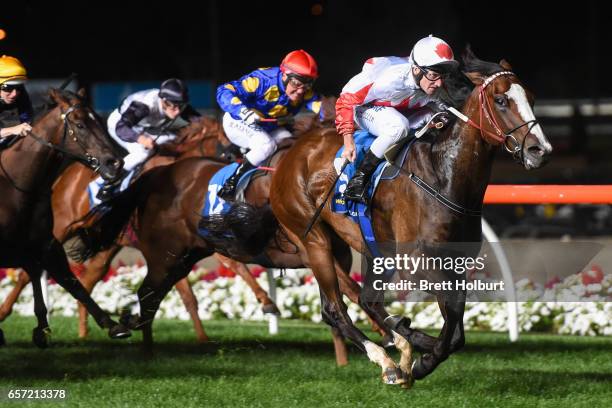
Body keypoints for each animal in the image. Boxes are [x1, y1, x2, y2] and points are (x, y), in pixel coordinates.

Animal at [0, 87, 130, 346]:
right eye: (79, 124)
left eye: (98, 120)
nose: (115, 163)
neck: (19, 188)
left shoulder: (44, 244)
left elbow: (72, 282)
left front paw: (112, 325)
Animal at [268, 48, 556, 386]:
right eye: (501, 100)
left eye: (531, 98)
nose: (540, 150)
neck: (444, 177)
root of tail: (291, 154)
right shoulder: (418, 263)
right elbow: (452, 320)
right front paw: (422, 362)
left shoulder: (455, 262)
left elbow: (456, 326)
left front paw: (419, 348)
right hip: (313, 241)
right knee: (336, 309)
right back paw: (388, 361)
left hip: (368, 249)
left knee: (364, 300)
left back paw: (401, 339)